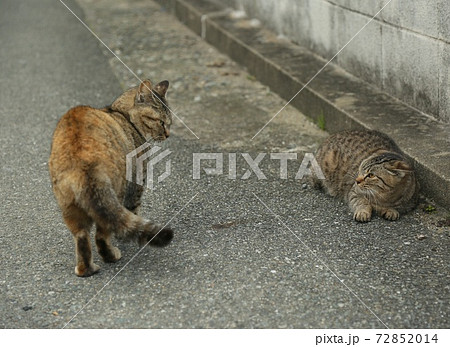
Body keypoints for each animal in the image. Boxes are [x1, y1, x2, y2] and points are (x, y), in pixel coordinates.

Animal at [49, 79, 174, 278]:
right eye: (161, 122)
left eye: (170, 122)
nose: (168, 134)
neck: (121, 114)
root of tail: (83, 162)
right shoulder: (136, 183)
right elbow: (134, 212)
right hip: (116, 191)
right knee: (102, 234)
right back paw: (112, 255)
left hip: (69, 207)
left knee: (82, 237)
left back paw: (86, 269)